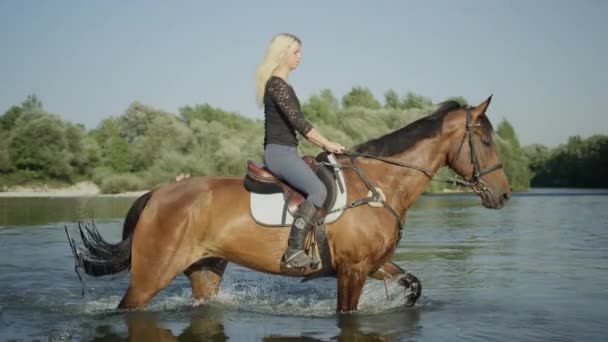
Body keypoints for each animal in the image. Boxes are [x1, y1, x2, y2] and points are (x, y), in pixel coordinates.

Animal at [69, 96, 510, 312]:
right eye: (486, 140)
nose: (503, 193)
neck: (379, 185)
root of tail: (158, 193)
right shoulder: (352, 271)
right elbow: (347, 313)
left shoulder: (374, 263)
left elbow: (414, 285)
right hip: (151, 276)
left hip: (205, 269)